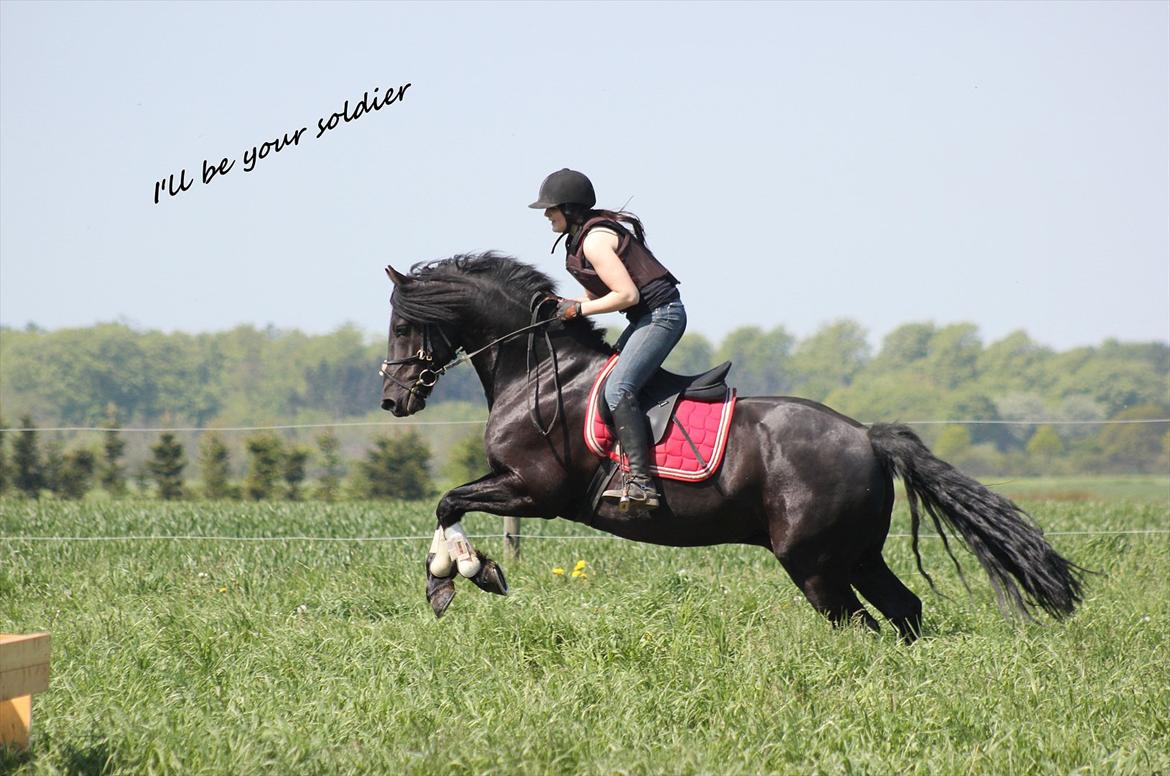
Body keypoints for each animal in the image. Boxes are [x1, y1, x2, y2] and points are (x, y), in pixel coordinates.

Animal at [379, 251, 1081, 641]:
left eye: (404, 323)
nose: (392, 400)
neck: (540, 374)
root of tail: (867, 436)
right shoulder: (519, 488)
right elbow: (447, 504)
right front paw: (458, 575)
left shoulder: (533, 489)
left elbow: (447, 502)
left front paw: (458, 575)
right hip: (855, 554)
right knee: (902, 611)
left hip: (813, 562)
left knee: (859, 624)